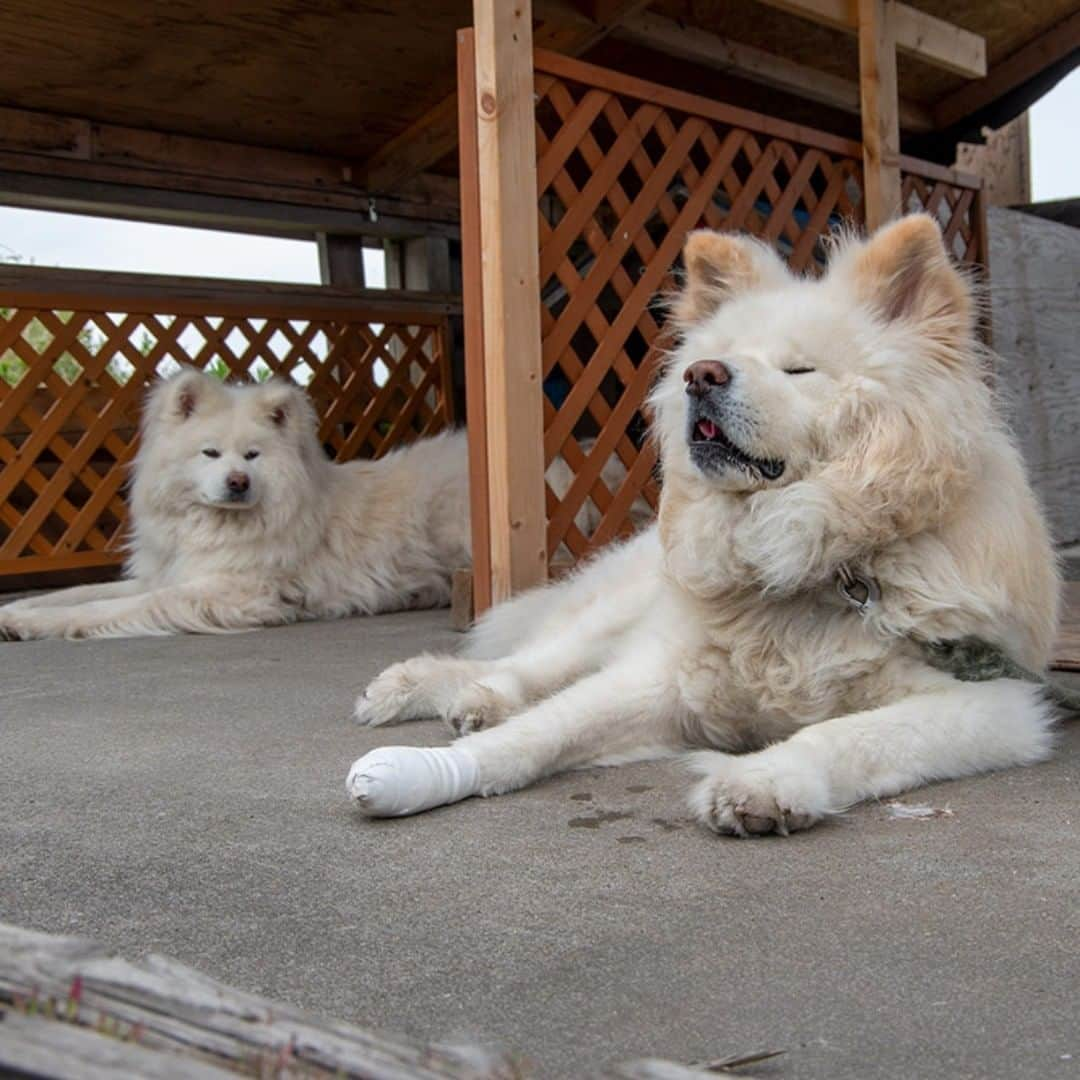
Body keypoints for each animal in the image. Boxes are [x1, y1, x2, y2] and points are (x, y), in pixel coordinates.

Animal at [347, 210, 1062, 833]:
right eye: (719, 357)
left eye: (798, 369)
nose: (701, 375)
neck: (812, 569)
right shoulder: (661, 674)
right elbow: (542, 730)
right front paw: (426, 773)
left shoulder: (996, 703)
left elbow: (838, 734)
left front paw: (761, 783)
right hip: (612, 615)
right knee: (533, 663)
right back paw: (450, 694)